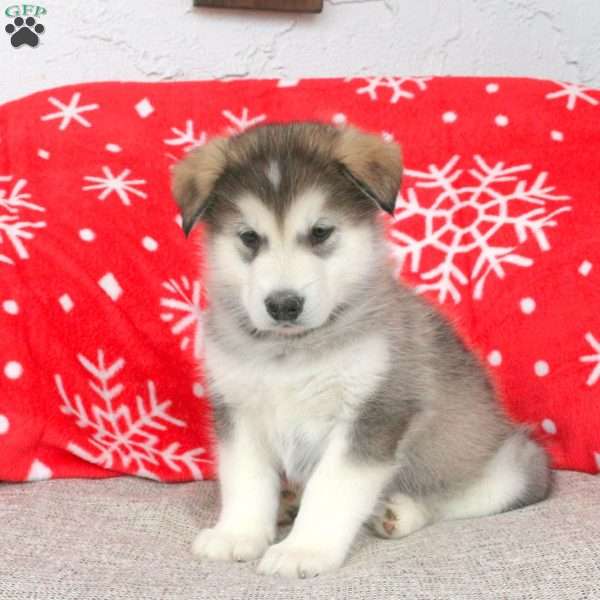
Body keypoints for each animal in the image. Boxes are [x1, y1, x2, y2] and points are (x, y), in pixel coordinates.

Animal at [171, 122, 552, 576]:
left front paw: (304, 549)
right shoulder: (237, 409)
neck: (293, 353)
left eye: (320, 232)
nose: (283, 305)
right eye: (249, 237)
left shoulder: (374, 413)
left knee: (459, 496)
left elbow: (332, 487)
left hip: (505, 464)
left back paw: (398, 512)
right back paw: (288, 501)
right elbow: (245, 478)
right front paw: (237, 534)